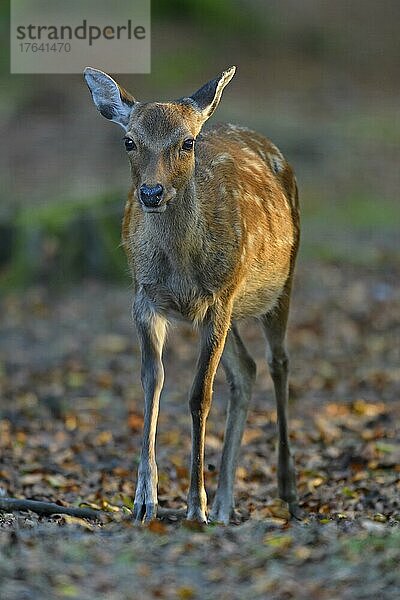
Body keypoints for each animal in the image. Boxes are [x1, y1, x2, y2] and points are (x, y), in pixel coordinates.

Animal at [83, 67, 300, 524]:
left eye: (187, 142)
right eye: (129, 141)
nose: (151, 193)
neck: (180, 270)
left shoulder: (219, 297)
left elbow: (200, 395)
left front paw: (194, 506)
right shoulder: (144, 300)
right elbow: (152, 384)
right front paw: (144, 501)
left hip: (281, 280)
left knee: (279, 362)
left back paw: (286, 490)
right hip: (231, 310)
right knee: (247, 369)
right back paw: (225, 505)